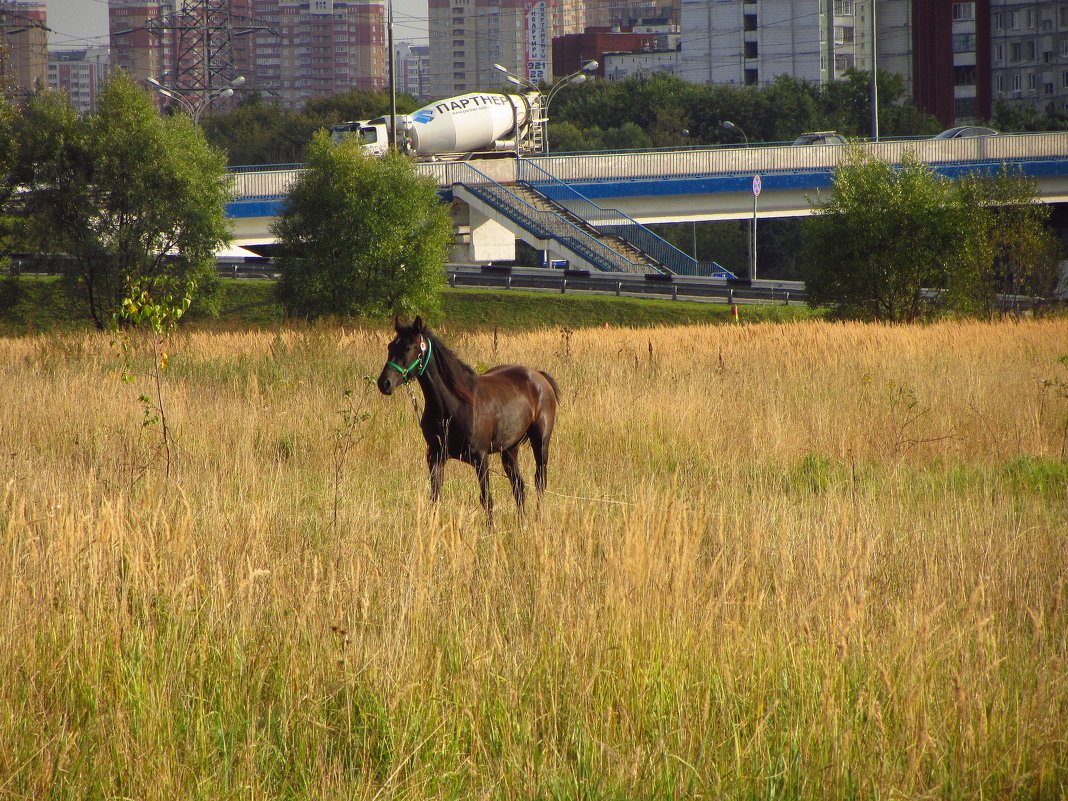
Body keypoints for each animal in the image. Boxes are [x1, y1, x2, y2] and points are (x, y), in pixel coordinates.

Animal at [375, 316, 559, 521]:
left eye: (408, 347)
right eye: (390, 346)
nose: (384, 383)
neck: (454, 406)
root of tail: (539, 376)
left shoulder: (481, 458)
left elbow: (487, 499)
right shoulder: (435, 455)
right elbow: (435, 497)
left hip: (540, 442)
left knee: (540, 481)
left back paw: (537, 519)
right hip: (510, 448)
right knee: (518, 486)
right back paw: (522, 523)